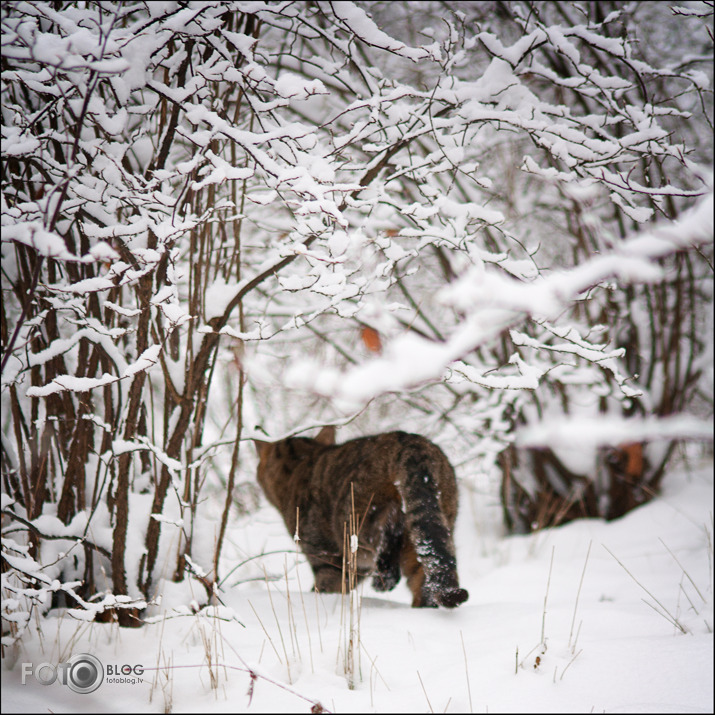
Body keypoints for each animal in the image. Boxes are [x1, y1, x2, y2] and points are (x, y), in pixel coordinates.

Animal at [253, 428, 470, 608]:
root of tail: (412, 443)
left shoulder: (326, 556)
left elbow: (326, 586)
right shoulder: (354, 570)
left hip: (355, 523)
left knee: (388, 531)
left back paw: (385, 576)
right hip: (432, 527)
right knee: (429, 575)